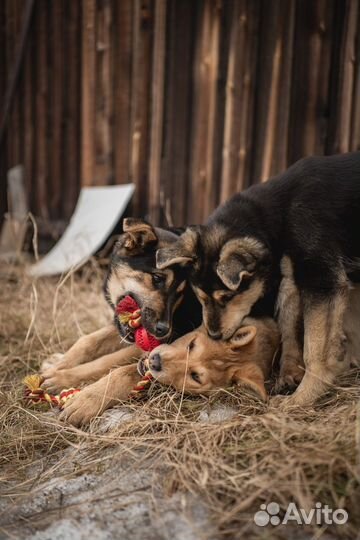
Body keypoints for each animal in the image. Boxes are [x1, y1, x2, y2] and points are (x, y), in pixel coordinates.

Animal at [156, 152, 360, 404]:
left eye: (228, 297)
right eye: (201, 298)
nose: (213, 335)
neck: (279, 215)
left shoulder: (322, 281)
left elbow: (315, 351)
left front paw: (303, 397)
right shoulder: (291, 278)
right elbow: (288, 328)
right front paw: (289, 375)